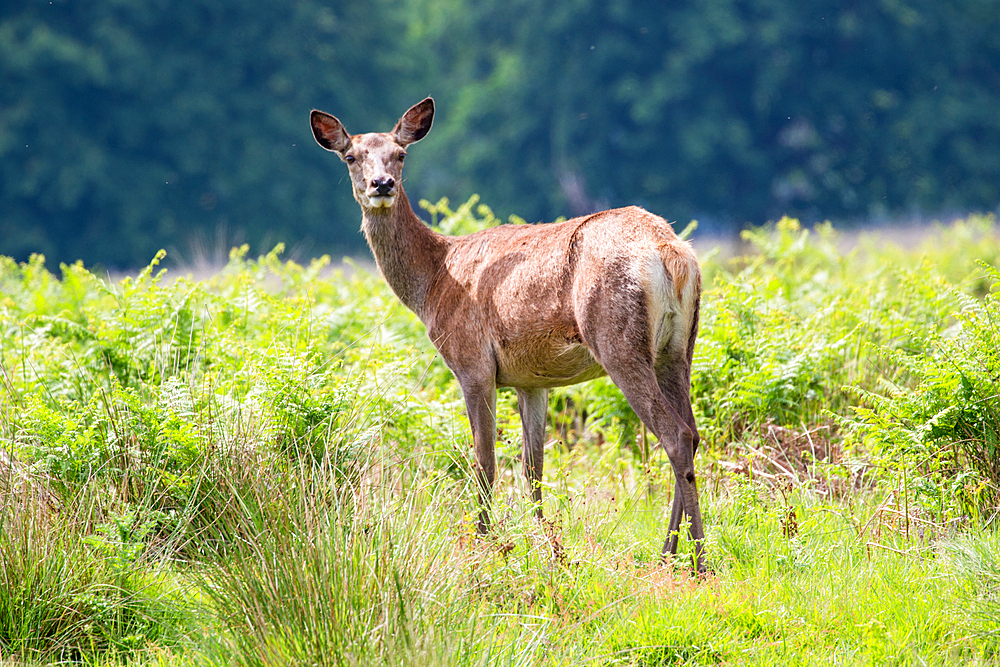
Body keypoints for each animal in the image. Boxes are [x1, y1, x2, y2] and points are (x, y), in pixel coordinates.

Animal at [308, 96, 708, 572]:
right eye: (351, 156)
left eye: (400, 154)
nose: (382, 184)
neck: (433, 282)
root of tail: (671, 253)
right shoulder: (531, 379)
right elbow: (533, 467)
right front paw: (547, 545)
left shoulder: (471, 363)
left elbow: (485, 463)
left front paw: (483, 545)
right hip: (678, 346)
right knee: (693, 431)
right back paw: (672, 553)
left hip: (618, 340)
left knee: (675, 435)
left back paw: (693, 559)